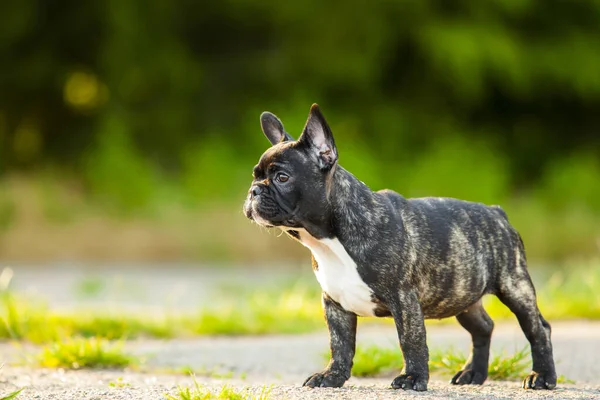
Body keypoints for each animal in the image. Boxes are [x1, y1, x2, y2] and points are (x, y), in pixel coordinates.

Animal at [241, 103, 556, 390]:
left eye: (282, 177)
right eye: (255, 176)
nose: (253, 191)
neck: (329, 238)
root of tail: (497, 212)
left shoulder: (404, 299)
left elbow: (410, 340)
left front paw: (412, 378)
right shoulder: (334, 303)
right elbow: (339, 344)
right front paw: (331, 376)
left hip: (514, 286)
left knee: (538, 329)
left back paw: (542, 377)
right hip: (461, 293)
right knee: (483, 326)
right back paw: (473, 373)